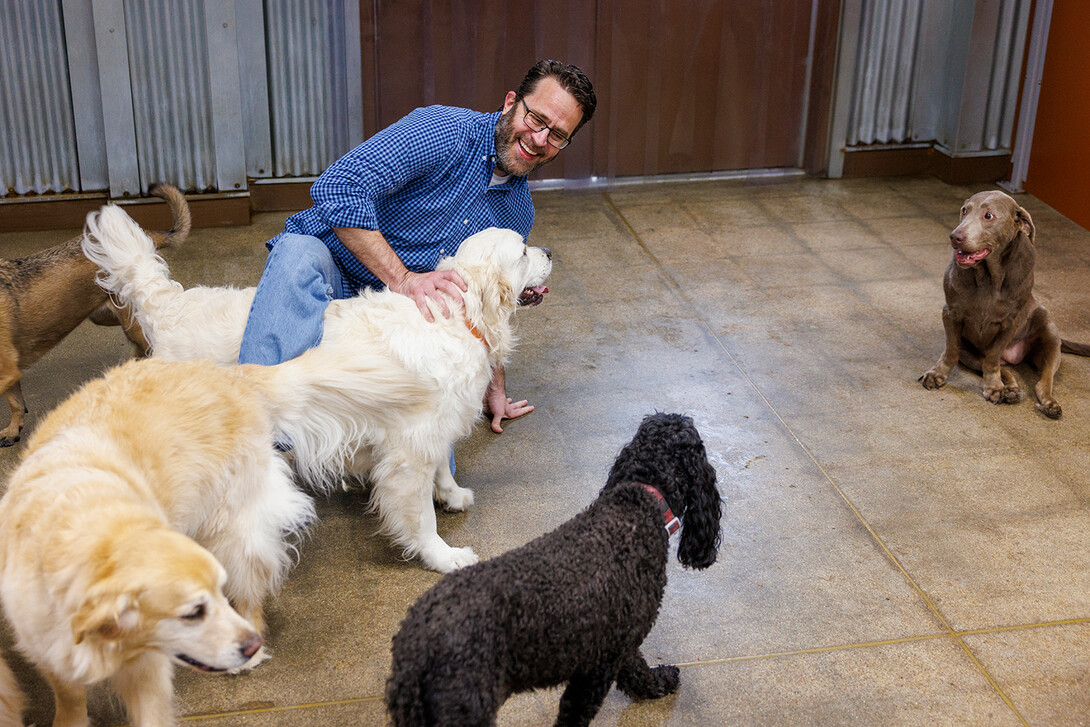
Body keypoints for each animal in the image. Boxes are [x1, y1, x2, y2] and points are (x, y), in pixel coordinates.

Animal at [0, 182, 188, 446]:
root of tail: (141, 236)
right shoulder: (10, 370)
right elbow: (16, 401)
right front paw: (12, 430)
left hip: (131, 321)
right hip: (106, 316)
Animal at [919, 190, 1090, 418]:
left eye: (988, 216)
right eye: (964, 210)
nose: (955, 236)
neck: (988, 276)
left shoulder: (1010, 323)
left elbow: (992, 358)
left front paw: (993, 387)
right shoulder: (951, 313)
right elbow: (951, 350)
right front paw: (937, 374)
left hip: (1049, 331)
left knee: (1042, 380)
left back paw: (1048, 403)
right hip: (970, 353)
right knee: (1004, 370)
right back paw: (1010, 391)